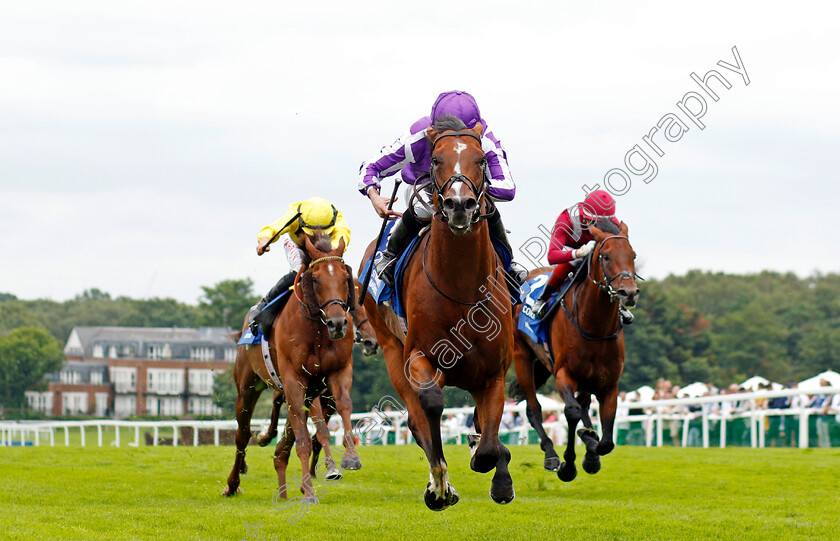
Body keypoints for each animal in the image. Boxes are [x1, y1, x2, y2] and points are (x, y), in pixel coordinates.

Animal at [223, 234, 360, 500]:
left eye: (344, 277)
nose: (338, 323)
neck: (317, 331)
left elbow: (344, 407)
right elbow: (304, 437)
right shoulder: (294, 380)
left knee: (283, 442)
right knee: (243, 434)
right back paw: (233, 483)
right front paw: (309, 490)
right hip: (247, 387)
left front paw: (350, 458)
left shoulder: (336, 374)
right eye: (315, 279)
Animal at [360, 116, 516, 508]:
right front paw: (441, 486)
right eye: (435, 160)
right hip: (391, 350)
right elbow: (431, 404)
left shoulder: (493, 371)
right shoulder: (419, 354)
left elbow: (489, 444)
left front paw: (496, 473)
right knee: (417, 419)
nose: (459, 204)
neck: (461, 288)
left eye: (481, 160)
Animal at [508, 219, 640, 480]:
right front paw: (568, 464)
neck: (594, 326)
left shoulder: (609, 384)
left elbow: (606, 440)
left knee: (585, 405)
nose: (628, 293)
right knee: (534, 409)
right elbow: (571, 412)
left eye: (633, 255)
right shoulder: (563, 375)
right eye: (606, 256)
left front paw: (591, 449)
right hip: (522, 357)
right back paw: (551, 453)